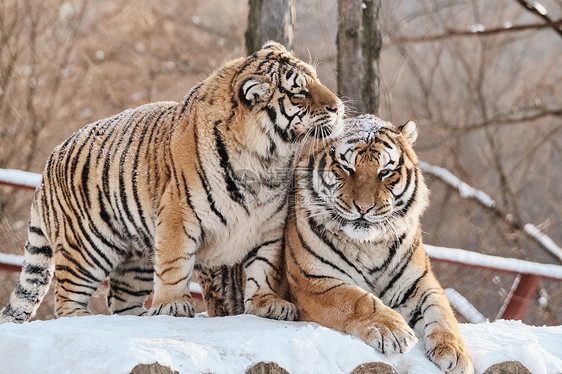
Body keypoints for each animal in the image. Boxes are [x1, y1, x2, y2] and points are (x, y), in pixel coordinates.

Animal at [0, 40, 344, 322]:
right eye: (299, 92)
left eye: (316, 79)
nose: (338, 107)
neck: (266, 160)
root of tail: (51, 157)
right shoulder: (179, 215)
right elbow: (176, 264)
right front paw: (173, 305)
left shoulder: (269, 222)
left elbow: (264, 265)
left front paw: (267, 304)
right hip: (86, 246)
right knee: (67, 298)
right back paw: (85, 319)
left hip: (135, 256)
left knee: (120, 299)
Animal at [282, 115, 470, 372]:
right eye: (346, 168)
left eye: (385, 172)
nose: (363, 207)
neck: (368, 246)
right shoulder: (314, 281)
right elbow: (357, 300)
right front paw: (394, 331)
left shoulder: (419, 283)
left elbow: (442, 313)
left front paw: (456, 353)